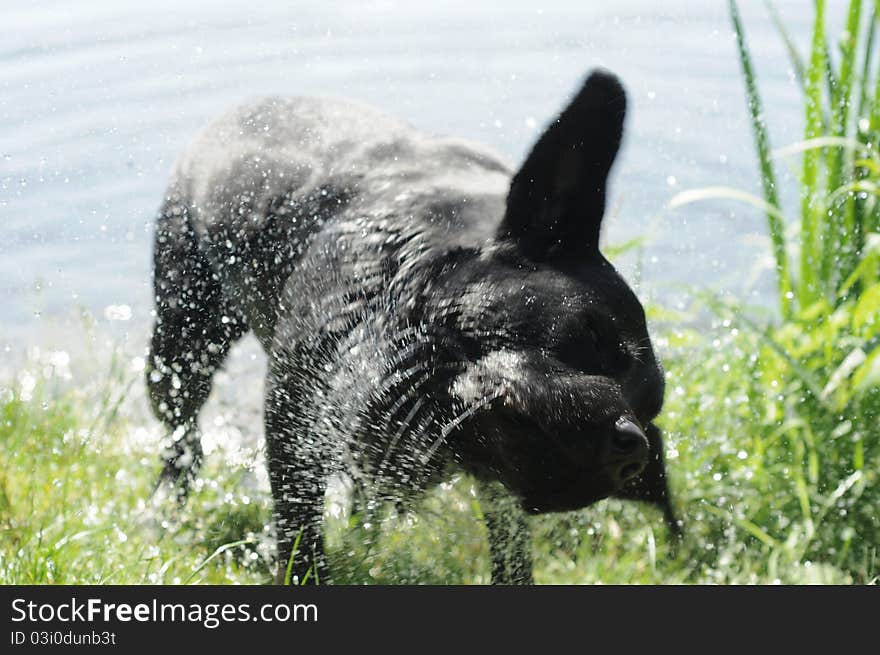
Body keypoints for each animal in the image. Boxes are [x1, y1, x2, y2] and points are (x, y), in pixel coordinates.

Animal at [148, 70, 676, 584]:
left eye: (648, 407)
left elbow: (512, 558)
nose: (635, 448)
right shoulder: (293, 421)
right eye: (592, 334)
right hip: (181, 344)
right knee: (183, 434)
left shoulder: (492, 484)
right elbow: (301, 543)